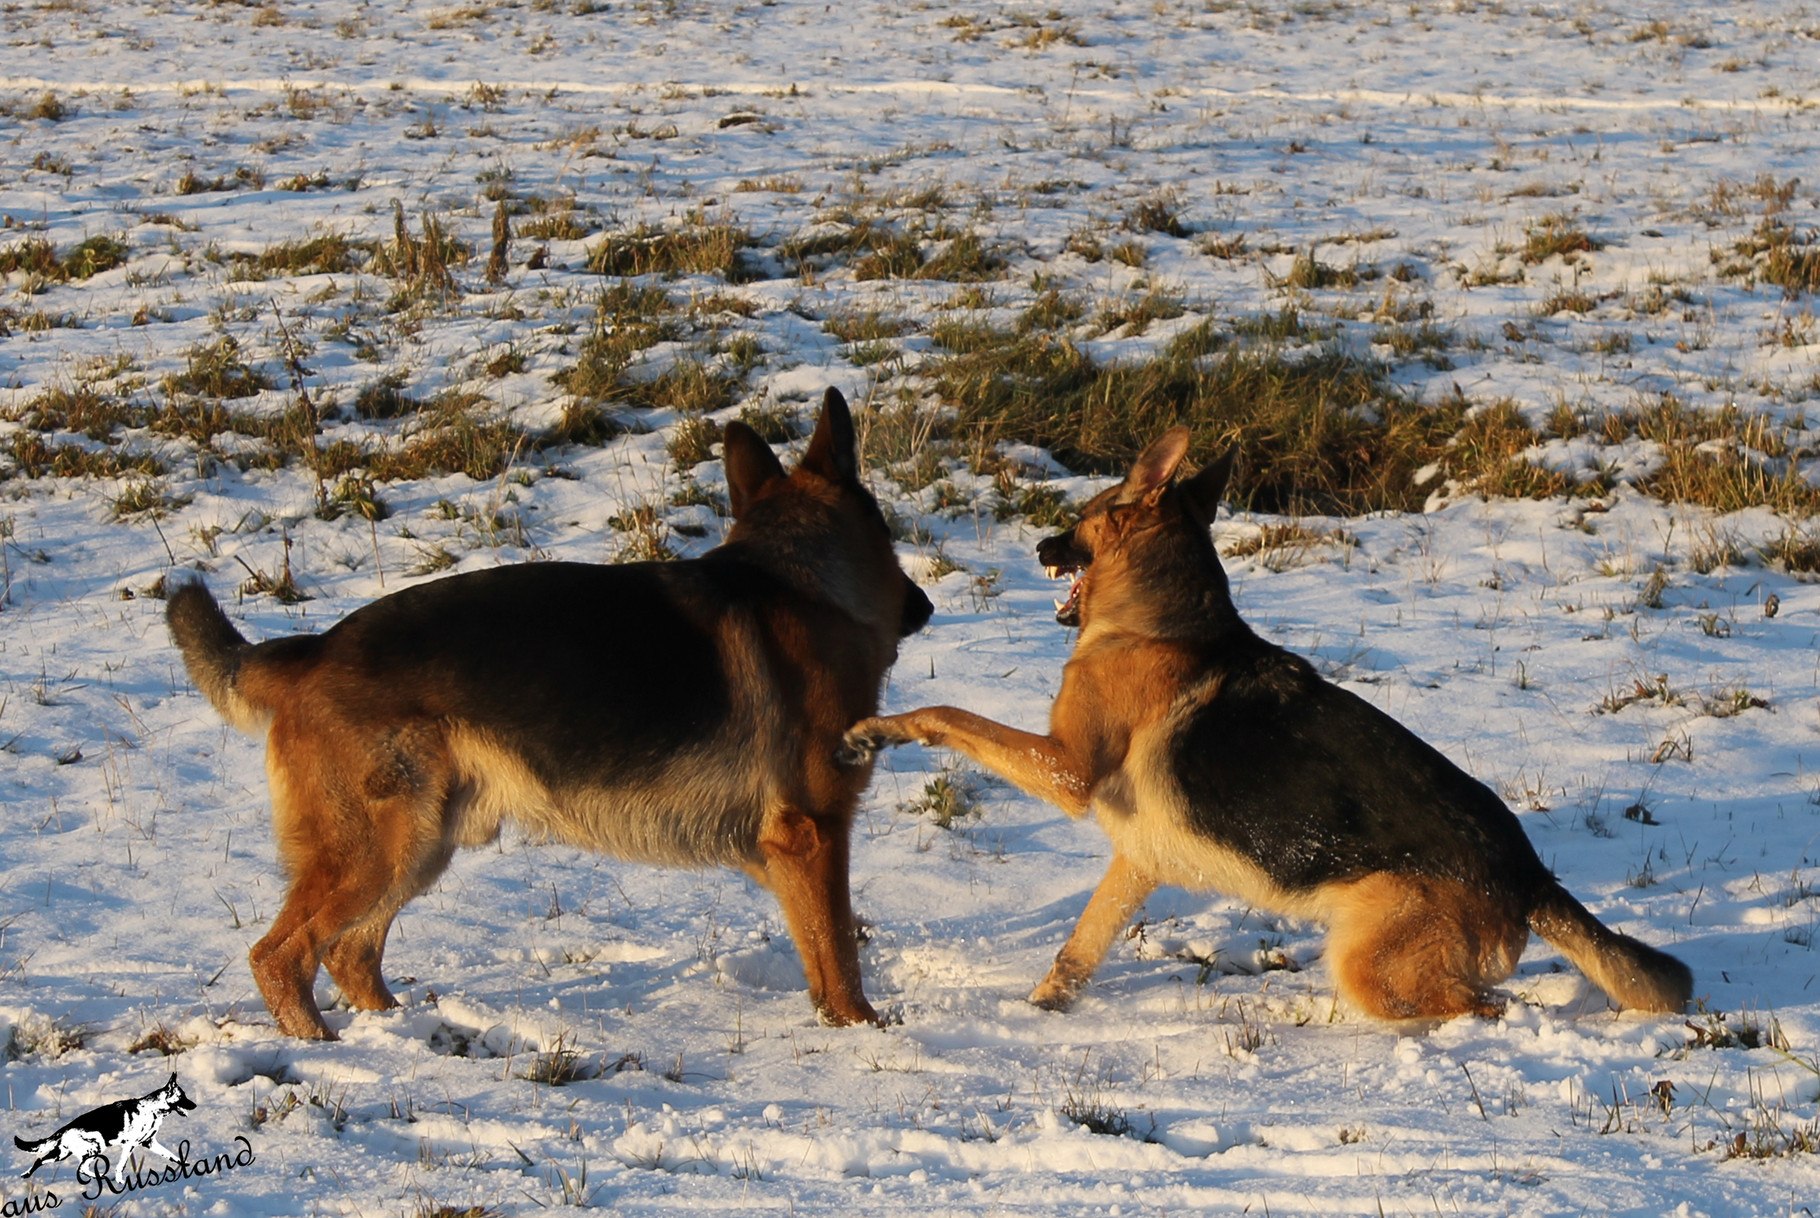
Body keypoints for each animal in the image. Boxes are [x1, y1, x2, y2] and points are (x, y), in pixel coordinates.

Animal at [13, 1070, 195, 1179]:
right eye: (183, 1097)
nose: (195, 1105)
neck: (153, 1110)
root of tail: (64, 1129)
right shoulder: (130, 1145)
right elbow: (121, 1166)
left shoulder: (149, 1143)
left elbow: (172, 1156)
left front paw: (185, 1165)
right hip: (93, 1148)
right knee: (77, 1167)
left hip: (64, 1153)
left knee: (48, 1161)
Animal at [167, 389, 939, 1034]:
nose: (926, 608)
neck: (799, 579)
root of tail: (312, 648)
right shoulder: (814, 836)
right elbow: (838, 953)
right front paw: (861, 1031)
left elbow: (821, 950)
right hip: (379, 848)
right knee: (281, 954)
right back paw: (321, 1045)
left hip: (419, 844)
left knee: (350, 952)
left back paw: (399, 1031)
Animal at [837, 431, 1688, 1019]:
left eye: (1082, 519)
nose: (1040, 543)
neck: (1161, 621)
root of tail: (1528, 871)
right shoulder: (1137, 858)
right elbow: (1079, 946)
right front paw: (1044, 1009)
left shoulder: (1066, 765)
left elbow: (952, 715)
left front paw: (879, 728)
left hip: (1369, 963)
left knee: (1479, 1008)